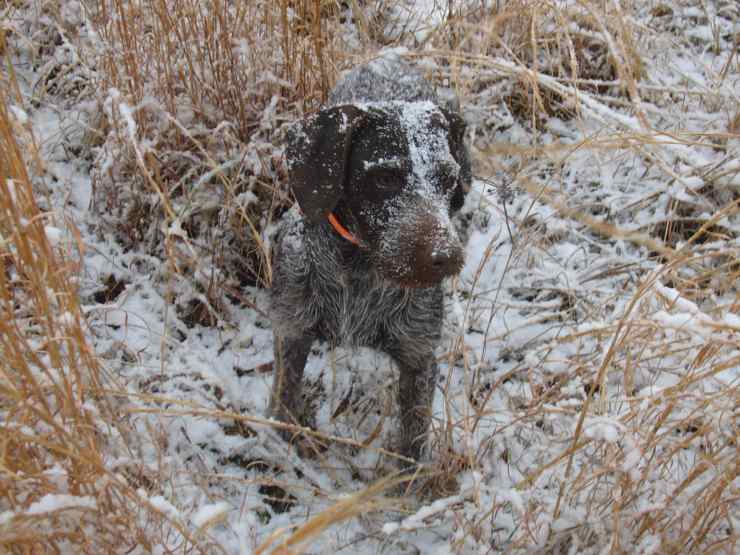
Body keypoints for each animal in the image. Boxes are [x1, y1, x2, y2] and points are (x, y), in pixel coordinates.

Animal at [268, 57, 472, 464]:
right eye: (383, 179)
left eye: (447, 178)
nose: (444, 258)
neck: (359, 270)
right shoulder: (291, 330)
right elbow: (284, 401)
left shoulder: (418, 355)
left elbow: (413, 438)